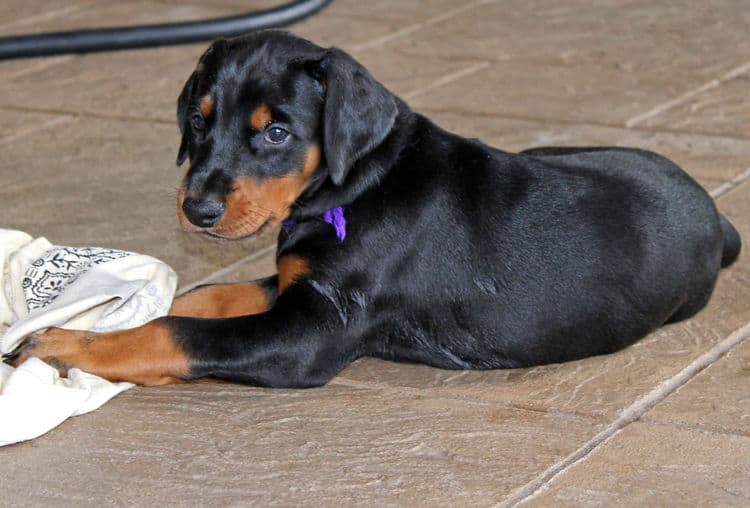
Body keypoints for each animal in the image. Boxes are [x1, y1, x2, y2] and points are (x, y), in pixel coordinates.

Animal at [5, 30, 744, 384]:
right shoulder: (301, 286)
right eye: (197, 118)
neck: (351, 187)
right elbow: (205, 299)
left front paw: (65, 343)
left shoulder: (308, 335)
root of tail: (717, 217)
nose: (198, 209)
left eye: (277, 132)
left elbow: (178, 333)